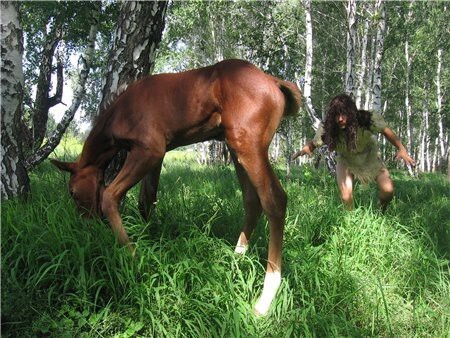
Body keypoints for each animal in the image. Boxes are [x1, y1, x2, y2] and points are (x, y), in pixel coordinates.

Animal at [51, 59, 300, 316]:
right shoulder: (156, 156)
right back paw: (235, 260)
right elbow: (146, 201)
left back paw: (265, 297)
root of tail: (274, 81)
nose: (86, 224)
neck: (120, 111)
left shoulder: (149, 150)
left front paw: (132, 256)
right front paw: (151, 243)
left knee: (274, 200)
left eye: (72, 192)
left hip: (248, 145)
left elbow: (110, 197)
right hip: (235, 148)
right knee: (252, 200)